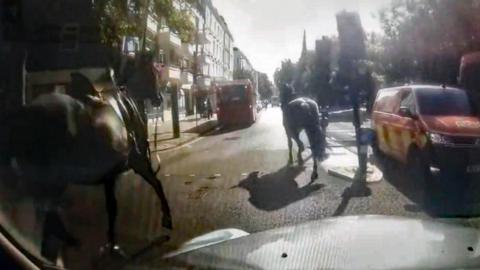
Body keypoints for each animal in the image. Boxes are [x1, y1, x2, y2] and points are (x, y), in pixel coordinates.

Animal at [2, 71, 172, 262]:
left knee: (47, 212)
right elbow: (151, 186)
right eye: (155, 72)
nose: (159, 98)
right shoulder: (135, 163)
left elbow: (112, 205)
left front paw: (111, 245)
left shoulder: (111, 175)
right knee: (47, 211)